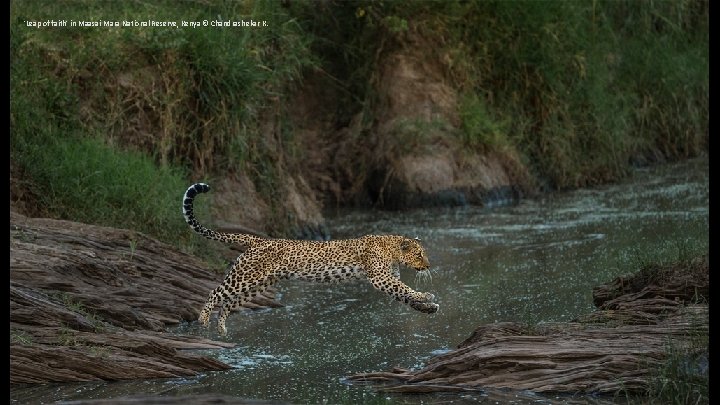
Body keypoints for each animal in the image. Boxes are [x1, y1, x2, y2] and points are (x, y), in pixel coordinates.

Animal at [183, 183, 438, 334]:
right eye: (419, 254)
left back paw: (222, 328)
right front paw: (426, 296)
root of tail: (257, 240)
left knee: (228, 304)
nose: (428, 265)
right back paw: (203, 320)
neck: (392, 250)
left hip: (257, 285)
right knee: (215, 292)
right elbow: (405, 289)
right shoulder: (380, 278)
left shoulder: (387, 279)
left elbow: (404, 295)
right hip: (243, 278)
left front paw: (428, 306)